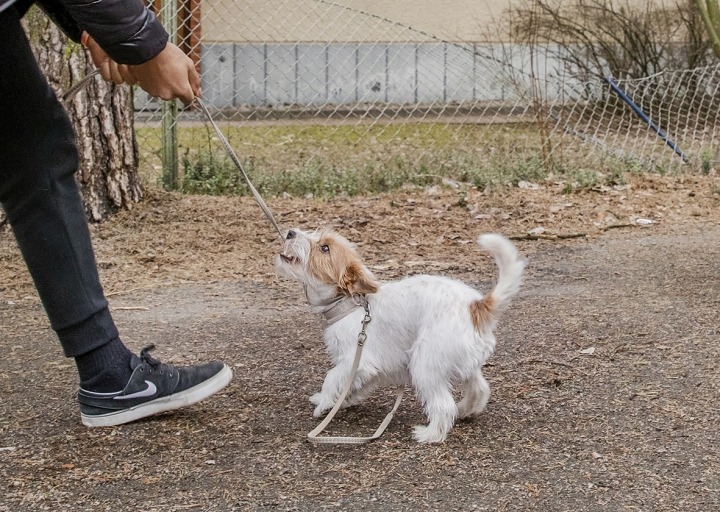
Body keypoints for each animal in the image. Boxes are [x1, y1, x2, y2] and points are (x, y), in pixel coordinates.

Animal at [276, 226, 524, 442]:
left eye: (324, 248)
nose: (290, 232)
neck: (351, 302)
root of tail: (476, 306)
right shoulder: (367, 368)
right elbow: (350, 385)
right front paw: (337, 400)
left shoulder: (357, 360)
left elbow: (331, 378)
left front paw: (323, 405)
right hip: (463, 365)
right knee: (479, 390)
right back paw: (464, 410)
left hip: (425, 365)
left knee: (444, 406)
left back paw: (430, 434)